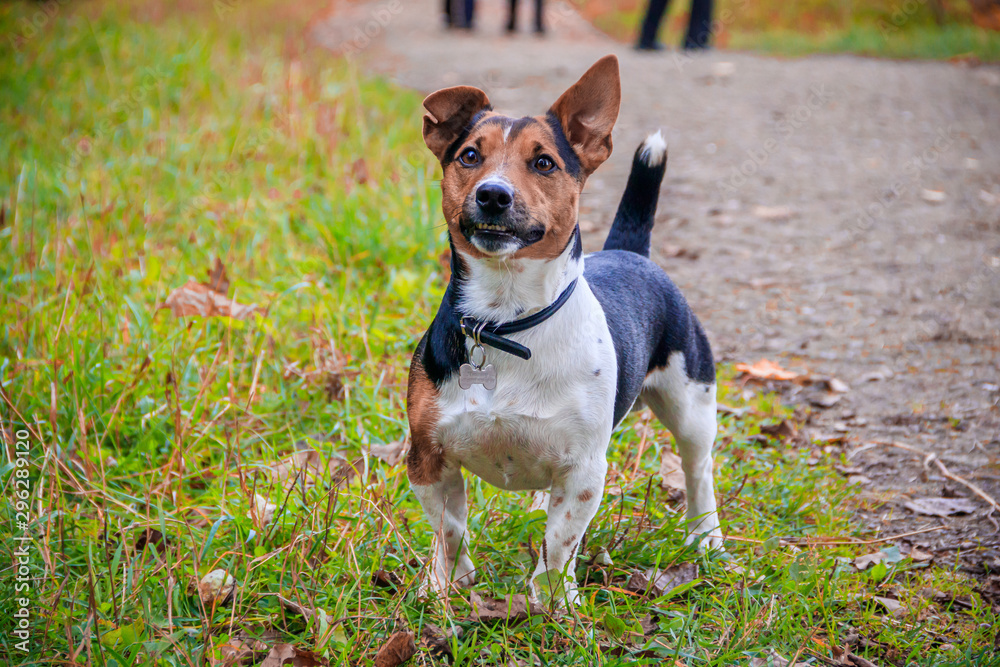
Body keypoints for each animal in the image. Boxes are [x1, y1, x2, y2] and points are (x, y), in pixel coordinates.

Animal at [404, 56, 720, 604]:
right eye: (469, 156)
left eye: (544, 163)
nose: (493, 194)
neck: (505, 323)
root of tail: (629, 252)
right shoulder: (427, 455)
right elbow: (450, 530)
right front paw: (445, 587)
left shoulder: (583, 470)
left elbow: (558, 543)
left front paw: (551, 603)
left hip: (692, 404)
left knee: (698, 471)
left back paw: (707, 539)